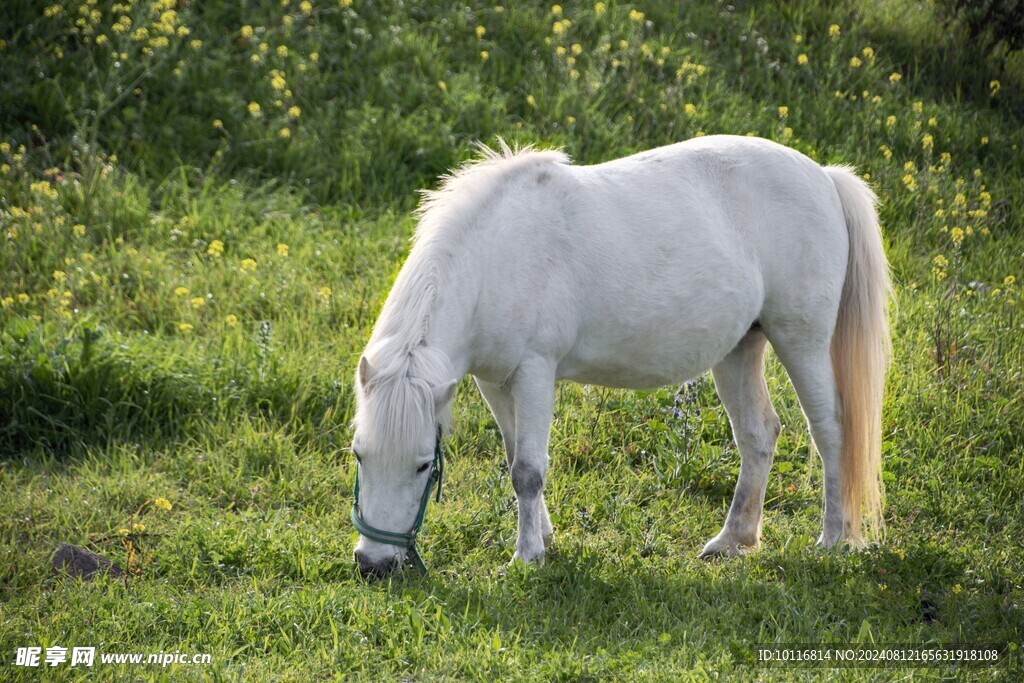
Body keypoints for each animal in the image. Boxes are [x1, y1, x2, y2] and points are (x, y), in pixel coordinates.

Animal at [346, 136, 888, 581]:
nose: (374, 565)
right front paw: (543, 538)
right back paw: (732, 541)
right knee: (758, 435)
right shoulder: (494, 382)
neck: (496, 257)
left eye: (423, 466)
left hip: (801, 342)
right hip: (739, 350)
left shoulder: (534, 372)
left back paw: (833, 539)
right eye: (359, 454)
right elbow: (514, 457)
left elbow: (528, 470)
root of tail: (824, 176)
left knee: (830, 431)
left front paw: (526, 557)